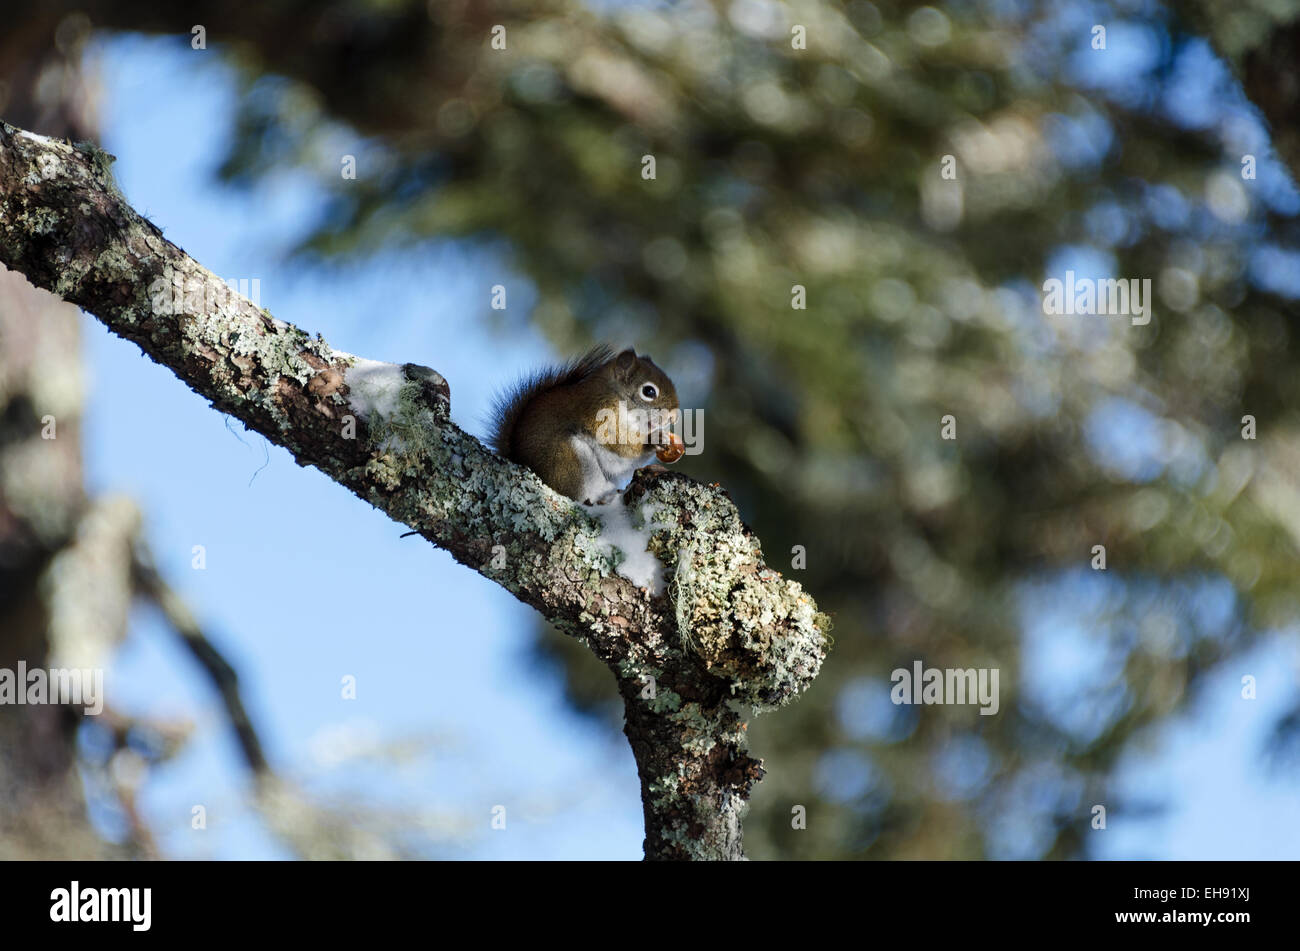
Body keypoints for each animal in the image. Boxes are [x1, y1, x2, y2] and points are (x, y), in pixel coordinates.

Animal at [490, 346, 684, 505]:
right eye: (649, 391)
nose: (674, 417)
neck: (616, 395)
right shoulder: (599, 415)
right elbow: (621, 447)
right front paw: (653, 440)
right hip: (568, 460)